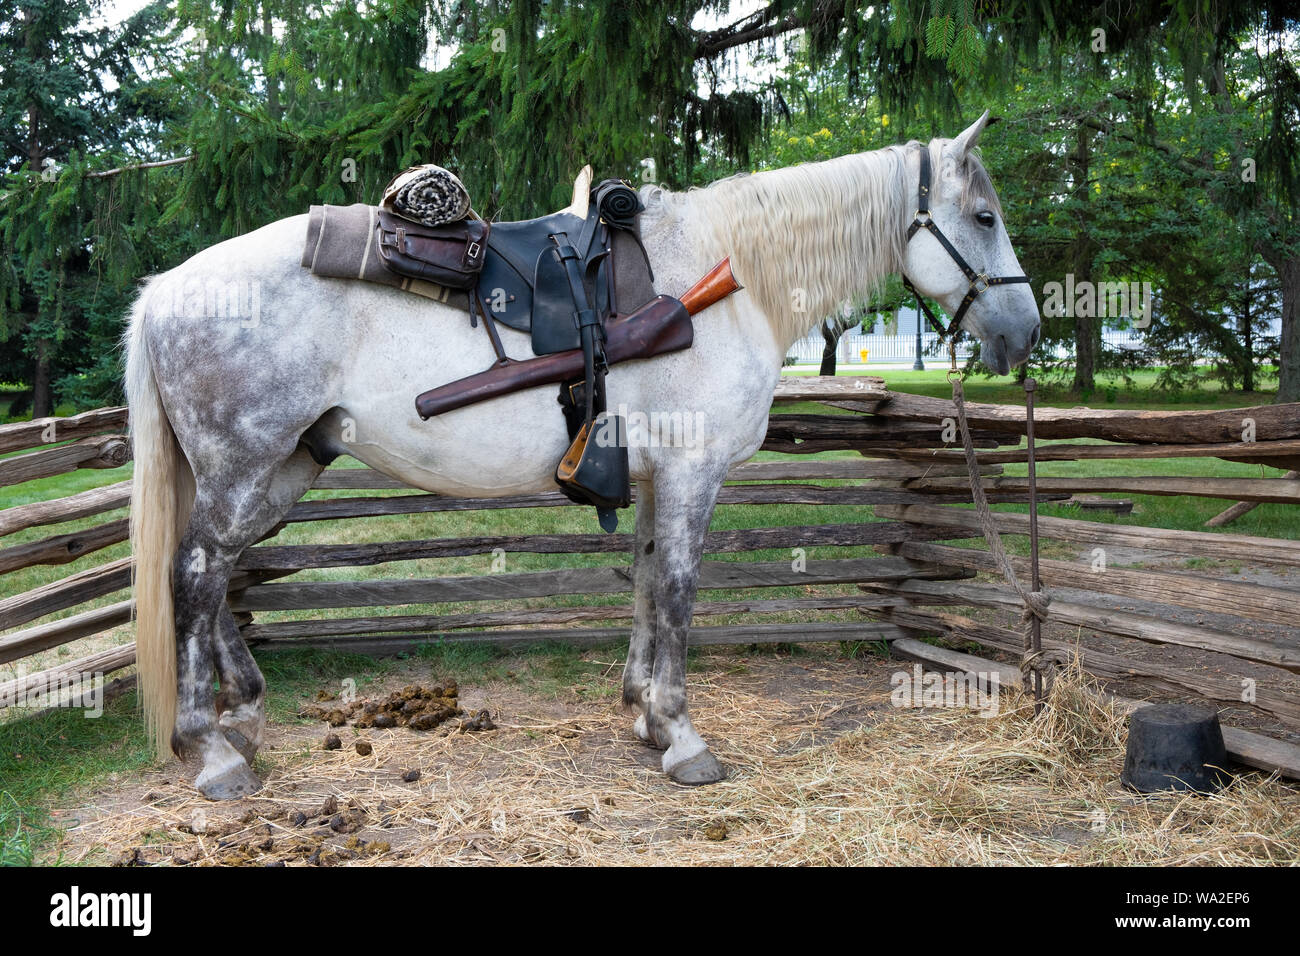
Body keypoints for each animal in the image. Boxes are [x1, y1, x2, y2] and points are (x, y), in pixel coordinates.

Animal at [122, 110, 1034, 801]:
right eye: (985, 218)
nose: (1025, 332)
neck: (726, 278)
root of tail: (164, 289)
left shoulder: (656, 476)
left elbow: (646, 582)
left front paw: (646, 716)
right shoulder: (693, 474)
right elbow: (678, 593)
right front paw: (683, 736)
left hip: (281, 467)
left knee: (215, 573)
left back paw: (244, 714)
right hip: (244, 465)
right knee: (196, 574)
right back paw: (211, 749)